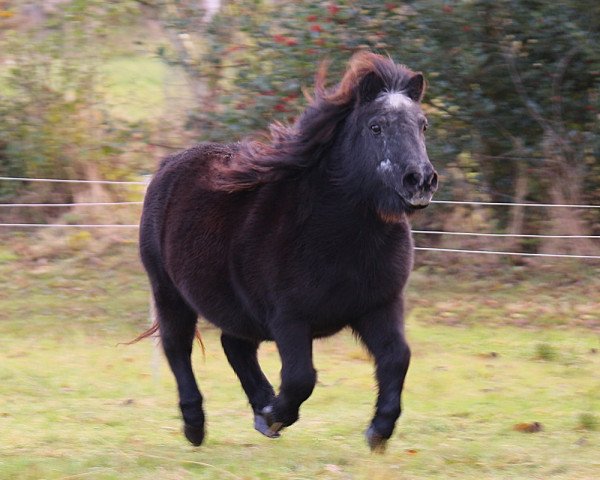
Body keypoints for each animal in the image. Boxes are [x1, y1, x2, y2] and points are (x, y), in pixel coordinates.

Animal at [139, 51, 438, 450]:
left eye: (423, 126)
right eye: (376, 127)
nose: (420, 180)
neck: (340, 237)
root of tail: (167, 166)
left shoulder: (379, 306)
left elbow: (396, 358)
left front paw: (379, 430)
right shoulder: (290, 319)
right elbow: (300, 378)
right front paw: (275, 417)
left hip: (236, 308)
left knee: (235, 346)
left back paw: (259, 406)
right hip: (169, 292)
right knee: (177, 348)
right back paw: (195, 425)